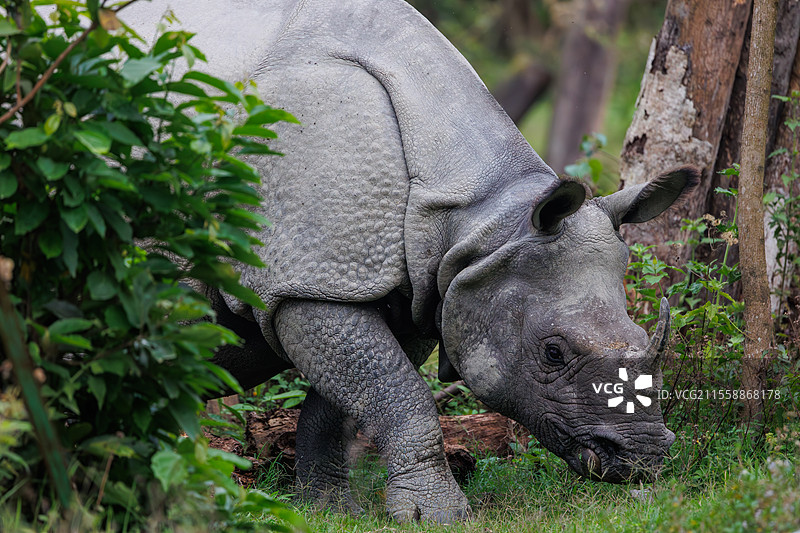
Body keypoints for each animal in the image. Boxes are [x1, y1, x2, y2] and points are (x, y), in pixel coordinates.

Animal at [125, 0, 698, 522]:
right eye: (553, 353)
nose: (641, 458)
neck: (484, 220)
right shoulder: (306, 285)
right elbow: (402, 395)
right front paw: (438, 516)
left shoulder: (420, 287)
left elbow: (346, 402)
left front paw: (329, 510)